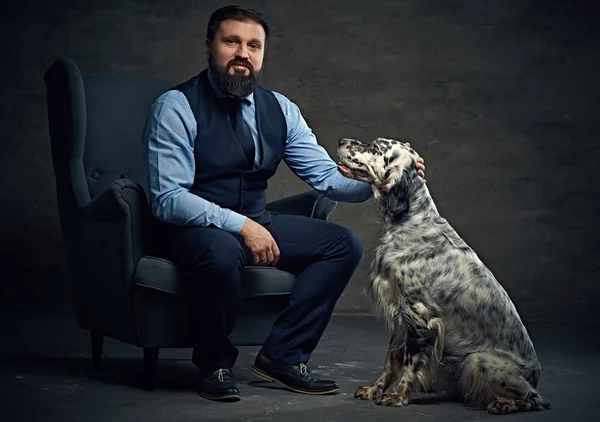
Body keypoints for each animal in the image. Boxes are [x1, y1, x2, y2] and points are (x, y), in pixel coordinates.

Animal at [336, 137, 552, 414]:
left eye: (376, 147)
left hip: (477, 360)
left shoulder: (420, 315)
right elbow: (390, 361)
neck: (411, 220)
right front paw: (375, 390)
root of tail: (535, 375)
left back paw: (504, 404)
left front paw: (398, 396)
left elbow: (410, 363)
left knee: (535, 398)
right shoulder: (400, 314)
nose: (342, 141)